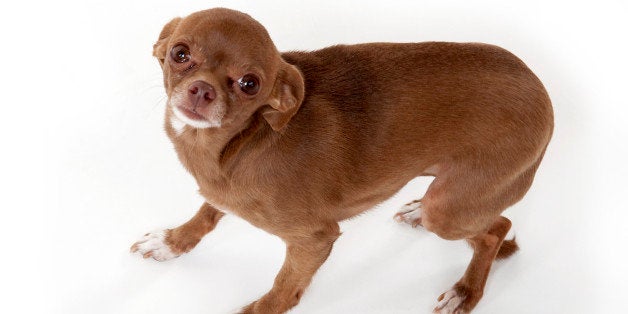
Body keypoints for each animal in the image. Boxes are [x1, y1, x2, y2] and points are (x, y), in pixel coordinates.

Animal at [130, 7, 552, 314]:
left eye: (250, 83)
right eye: (180, 54)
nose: (202, 90)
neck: (237, 145)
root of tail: (543, 93)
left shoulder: (315, 240)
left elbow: (283, 289)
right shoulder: (220, 193)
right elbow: (206, 212)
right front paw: (172, 242)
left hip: (449, 210)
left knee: (497, 229)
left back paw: (465, 292)